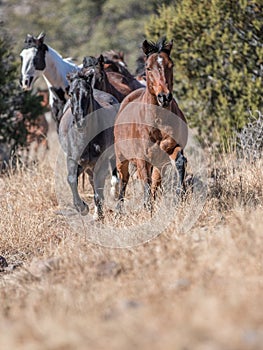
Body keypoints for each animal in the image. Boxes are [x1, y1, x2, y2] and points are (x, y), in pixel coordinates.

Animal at [59, 69, 119, 220]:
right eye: (70, 93)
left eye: (88, 93)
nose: (79, 122)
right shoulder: (73, 160)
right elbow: (72, 179)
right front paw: (83, 208)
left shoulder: (100, 162)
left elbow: (99, 187)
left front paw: (99, 214)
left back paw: (114, 193)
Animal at [114, 36, 189, 211]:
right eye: (148, 68)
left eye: (171, 65)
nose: (164, 97)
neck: (157, 122)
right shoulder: (142, 158)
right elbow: (145, 183)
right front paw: (147, 209)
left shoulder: (171, 149)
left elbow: (180, 163)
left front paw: (180, 197)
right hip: (121, 157)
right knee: (124, 180)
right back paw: (119, 210)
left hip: (158, 163)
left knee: (154, 183)